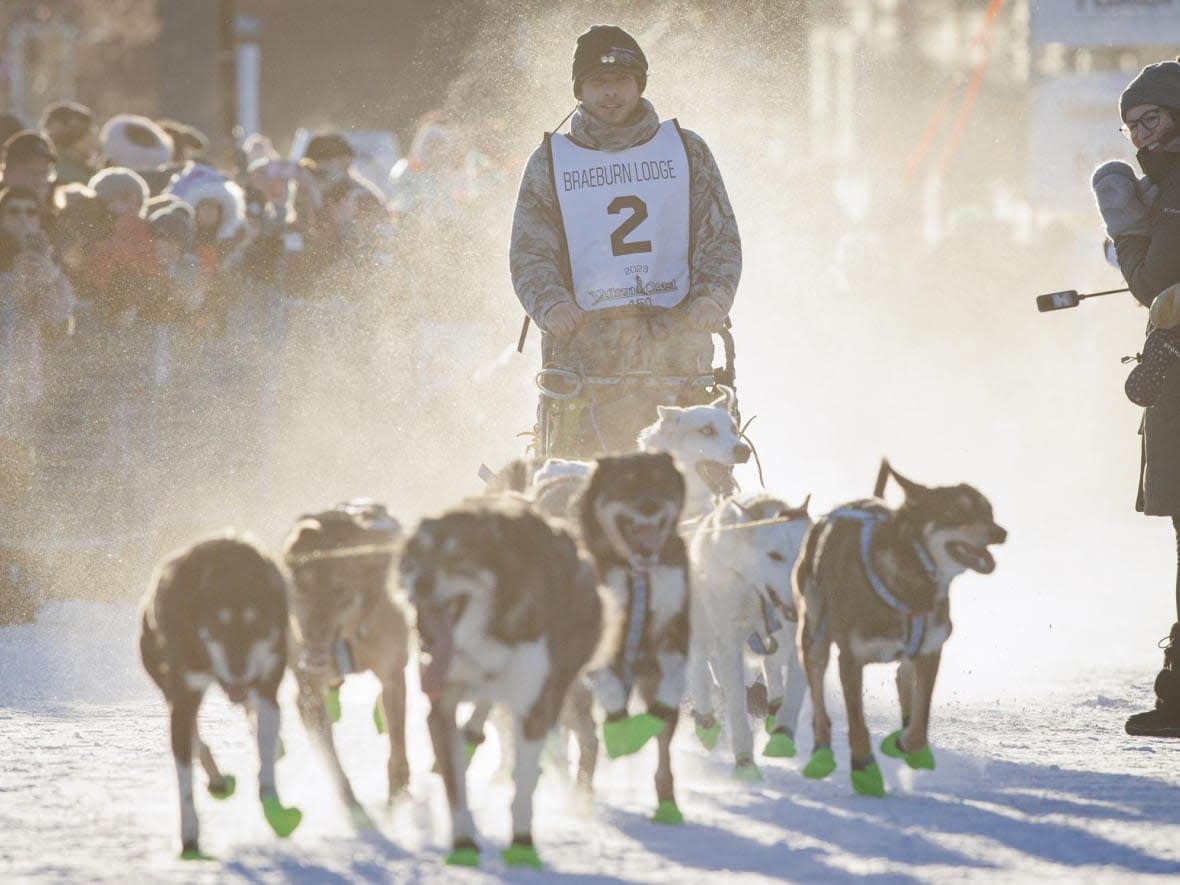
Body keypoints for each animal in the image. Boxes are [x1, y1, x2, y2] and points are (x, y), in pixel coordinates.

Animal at [139, 533, 302, 859]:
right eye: (216, 626)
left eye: (255, 624)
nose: (238, 670)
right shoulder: (184, 696)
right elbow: (184, 771)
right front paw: (189, 835)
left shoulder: (267, 681)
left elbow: (264, 742)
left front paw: (271, 798)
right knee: (195, 738)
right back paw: (216, 779)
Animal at [280, 502, 410, 821]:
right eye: (297, 590)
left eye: (340, 592)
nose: (313, 655)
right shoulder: (309, 692)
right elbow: (330, 760)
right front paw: (350, 804)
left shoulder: (392, 675)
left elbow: (397, 747)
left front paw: (398, 798)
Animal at [398, 502, 618, 868]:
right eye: (417, 553)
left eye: (458, 556)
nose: (421, 584)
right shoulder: (440, 705)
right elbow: (454, 785)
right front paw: (463, 840)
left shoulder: (535, 708)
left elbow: (524, 782)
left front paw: (521, 841)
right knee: (486, 708)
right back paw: (473, 730)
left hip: (561, 686)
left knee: (583, 736)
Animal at [689, 495, 811, 778]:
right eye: (775, 555)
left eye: (803, 554)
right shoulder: (728, 641)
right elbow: (735, 701)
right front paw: (744, 760)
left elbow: (794, 692)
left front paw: (783, 733)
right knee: (701, 669)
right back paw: (706, 720)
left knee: (772, 670)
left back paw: (774, 704)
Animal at [792, 464, 1005, 797]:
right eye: (956, 512)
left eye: (988, 511)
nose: (1000, 532)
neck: (911, 582)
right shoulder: (850, 659)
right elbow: (856, 722)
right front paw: (864, 769)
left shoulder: (931, 650)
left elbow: (922, 714)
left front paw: (908, 743)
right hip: (813, 634)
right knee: (818, 700)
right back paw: (821, 752)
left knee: (903, 675)